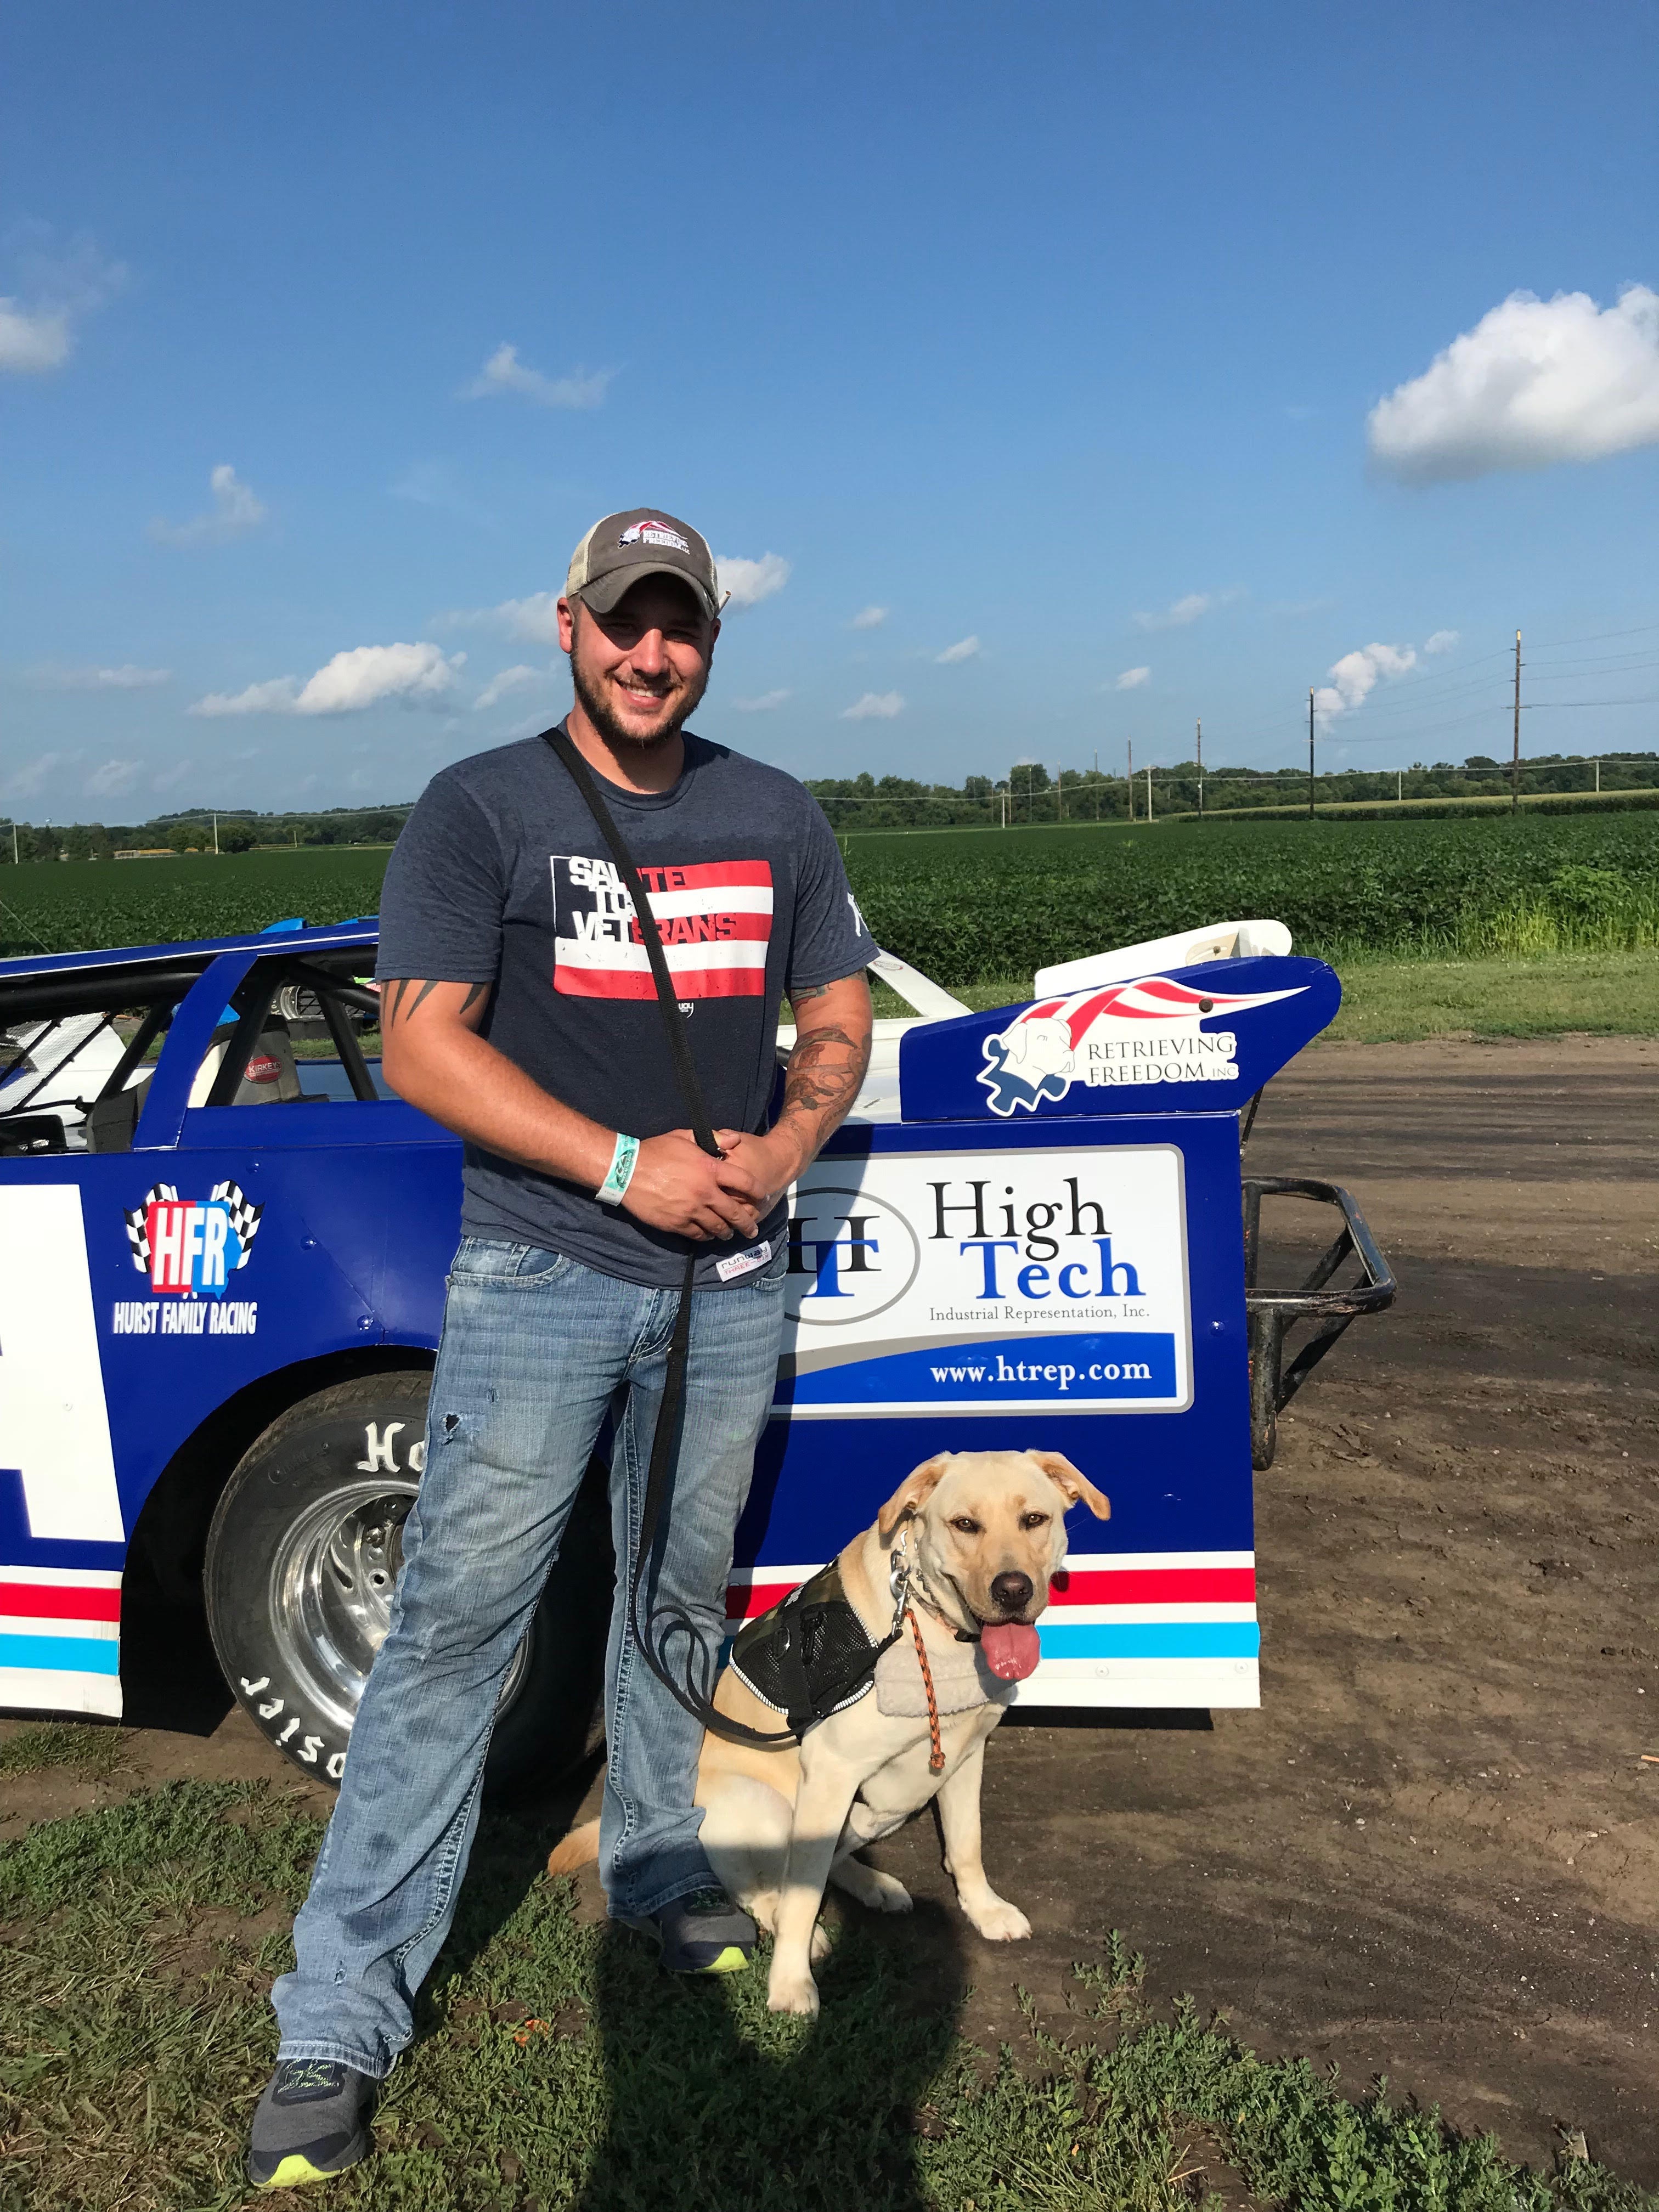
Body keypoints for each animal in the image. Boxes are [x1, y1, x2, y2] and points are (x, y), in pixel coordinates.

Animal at [553, 1451, 1110, 2026]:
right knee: (758, 1885)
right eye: (965, 1525)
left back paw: (873, 1885)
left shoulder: (966, 1753)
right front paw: (790, 1983)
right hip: (769, 1809)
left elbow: (966, 1844)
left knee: (834, 1856)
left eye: (1034, 1520)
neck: (935, 1628)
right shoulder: (830, 1771)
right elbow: (803, 1896)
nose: (1014, 1589)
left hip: (873, 1810)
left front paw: (984, 1909)